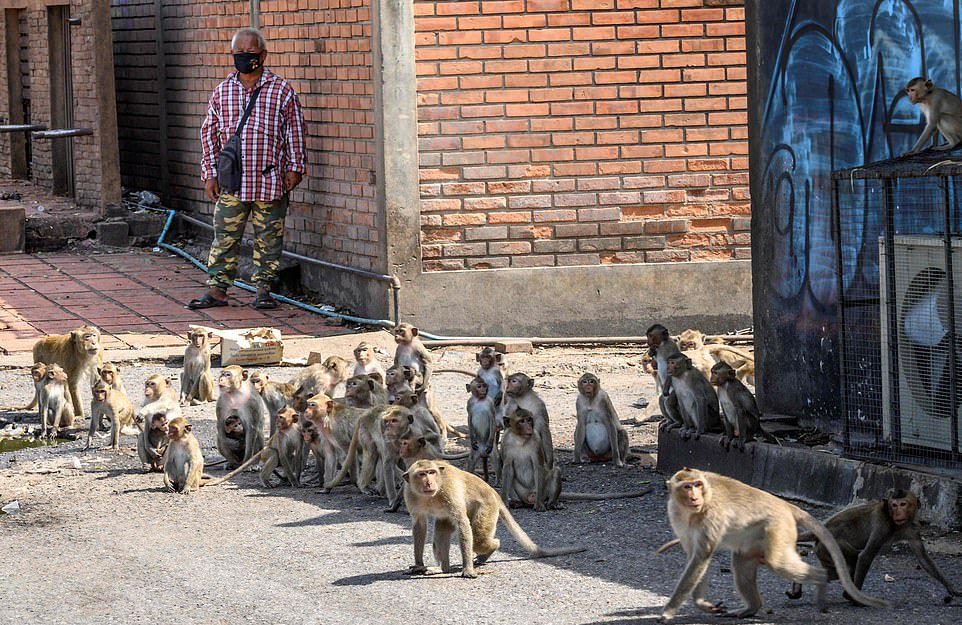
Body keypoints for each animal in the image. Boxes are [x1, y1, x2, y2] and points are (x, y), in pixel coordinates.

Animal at [784, 490, 956, 604]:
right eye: (894, 505)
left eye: (903, 504)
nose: (898, 513)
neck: (896, 523)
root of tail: (822, 528)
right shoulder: (883, 525)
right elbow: (865, 556)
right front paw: (854, 598)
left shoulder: (912, 528)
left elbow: (923, 558)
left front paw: (952, 589)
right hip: (831, 547)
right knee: (853, 561)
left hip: (823, 550)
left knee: (840, 569)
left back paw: (798, 585)